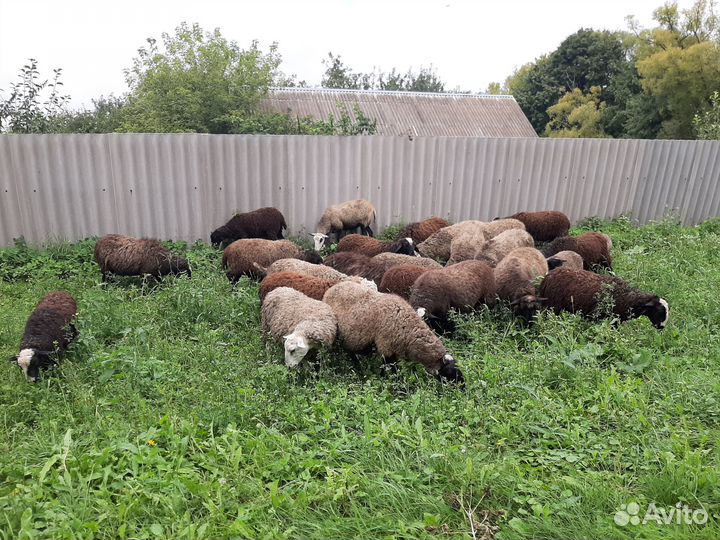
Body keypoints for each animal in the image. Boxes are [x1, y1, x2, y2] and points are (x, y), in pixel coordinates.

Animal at [539, 267, 669, 329]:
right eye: (659, 311)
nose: (661, 327)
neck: (629, 298)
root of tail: (547, 277)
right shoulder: (596, 316)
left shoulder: (616, 321)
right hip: (553, 307)